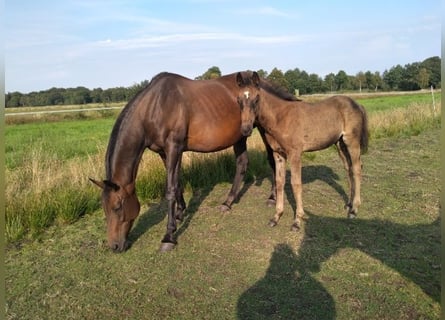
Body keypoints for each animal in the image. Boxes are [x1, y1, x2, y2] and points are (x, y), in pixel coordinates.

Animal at [89, 70, 296, 252]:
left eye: (117, 207)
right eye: (104, 208)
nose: (115, 246)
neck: (156, 106)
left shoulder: (174, 147)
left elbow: (170, 189)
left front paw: (169, 236)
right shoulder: (166, 152)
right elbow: (177, 182)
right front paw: (180, 213)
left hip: (264, 129)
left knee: (272, 160)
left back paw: (272, 198)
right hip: (239, 136)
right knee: (242, 163)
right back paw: (228, 202)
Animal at [236, 70, 368, 230]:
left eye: (256, 99)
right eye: (238, 100)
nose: (246, 129)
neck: (281, 117)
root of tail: (357, 104)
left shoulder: (295, 154)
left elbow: (296, 183)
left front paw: (297, 220)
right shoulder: (278, 154)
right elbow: (280, 182)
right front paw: (276, 216)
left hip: (352, 142)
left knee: (357, 168)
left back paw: (354, 209)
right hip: (340, 144)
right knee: (349, 169)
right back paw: (348, 204)